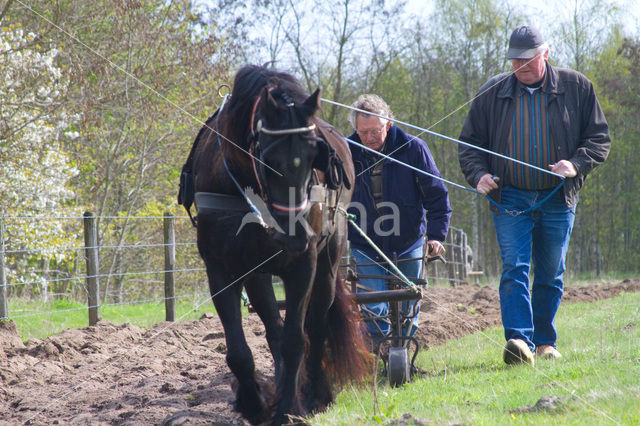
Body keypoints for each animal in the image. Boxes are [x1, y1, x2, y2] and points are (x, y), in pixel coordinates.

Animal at [179, 65, 370, 424]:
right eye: (268, 159)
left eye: (313, 156)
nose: (294, 234)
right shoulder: (221, 269)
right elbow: (240, 351)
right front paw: (255, 404)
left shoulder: (303, 265)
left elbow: (298, 340)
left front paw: (288, 409)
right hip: (258, 273)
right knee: (273, 328)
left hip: (327, 265)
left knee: (316, 325)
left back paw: (315, 393)